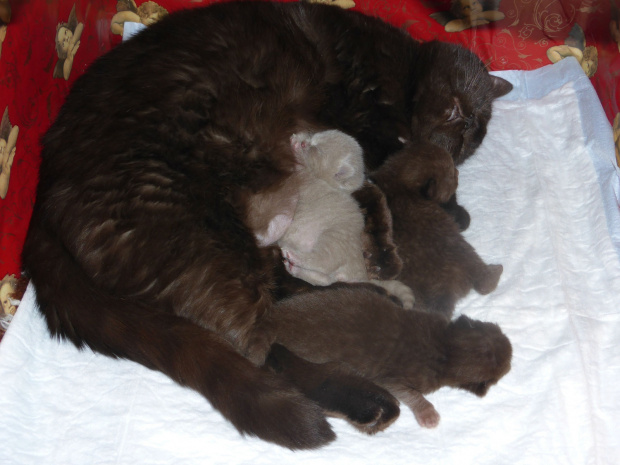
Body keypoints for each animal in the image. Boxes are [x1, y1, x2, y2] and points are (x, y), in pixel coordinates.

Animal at [370, 140, 502, 318]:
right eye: (452, 174)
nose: (458, 171)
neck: (397, 180)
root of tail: (445, 292)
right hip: (464, 249)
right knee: (484, 280)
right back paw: (497, 270)